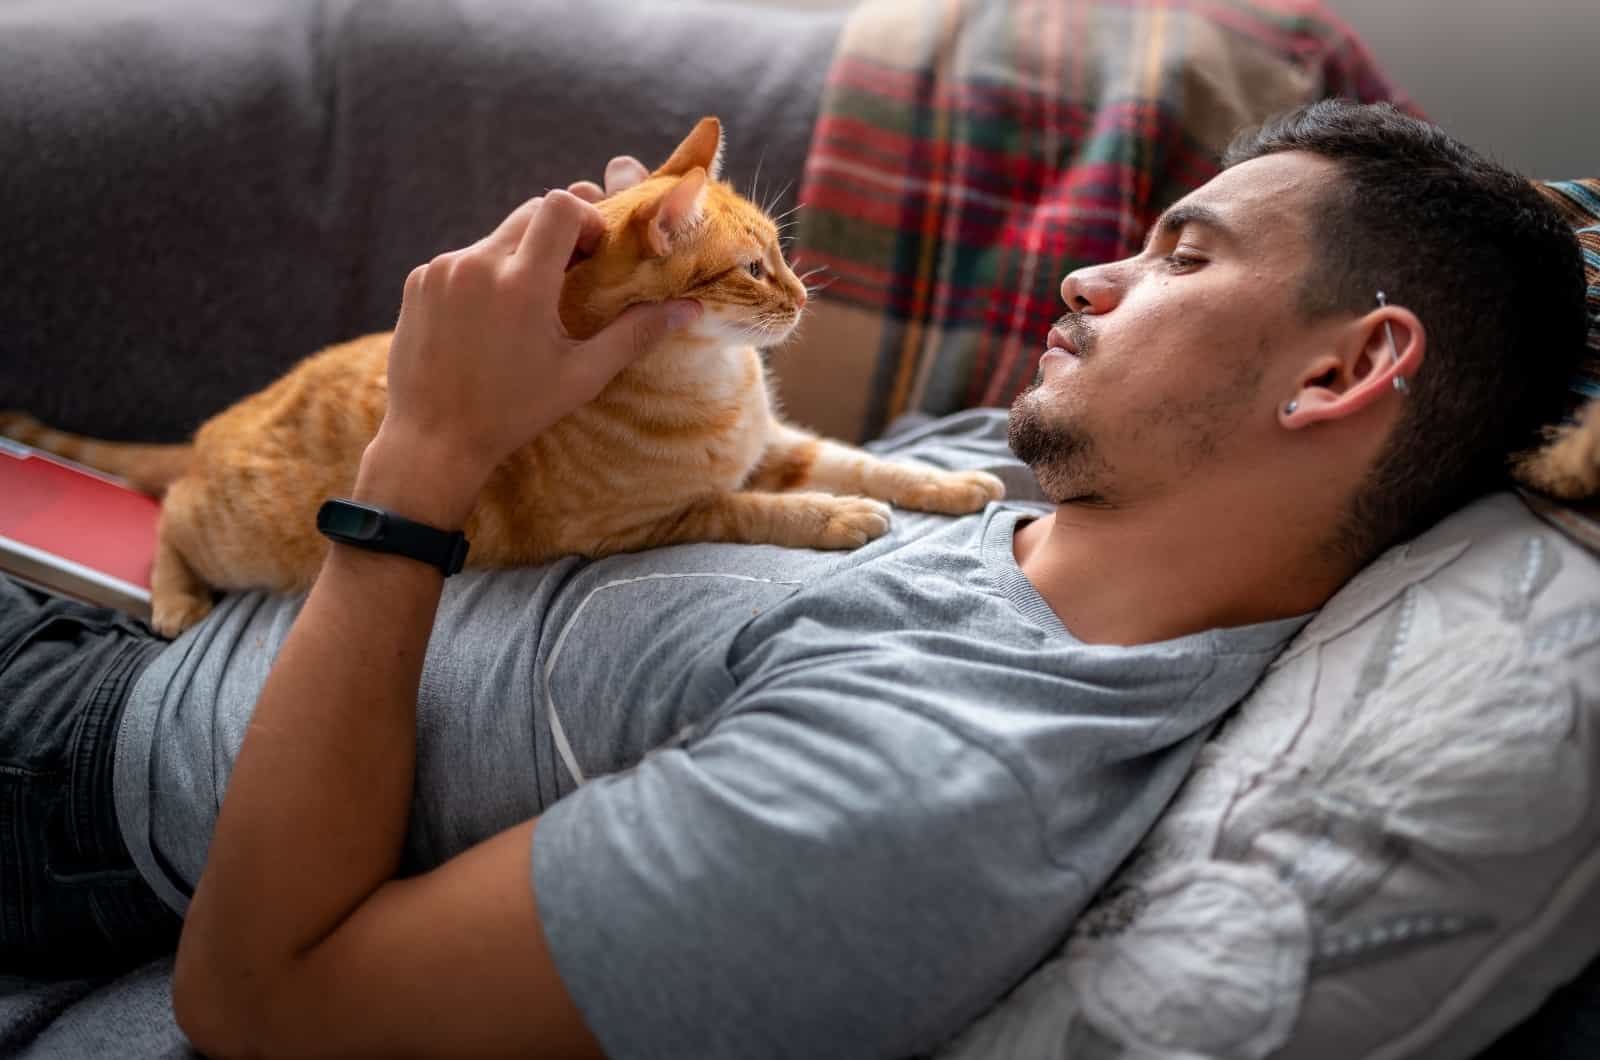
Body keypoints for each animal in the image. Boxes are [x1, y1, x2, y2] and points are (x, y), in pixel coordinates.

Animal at [0, 116, 998, 634]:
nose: (801, 295)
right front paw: (838, 517)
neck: (718, 383)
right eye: (756, 268)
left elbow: (863, 459)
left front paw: (948, 483)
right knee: (168, 513)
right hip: (233, 535)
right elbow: (757, 508)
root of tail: (213, 430)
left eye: (780, 255)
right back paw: (173, 598)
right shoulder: (645, 526)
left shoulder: (777, 443)